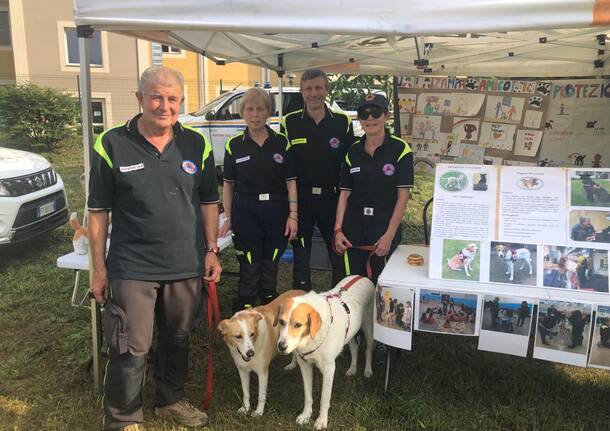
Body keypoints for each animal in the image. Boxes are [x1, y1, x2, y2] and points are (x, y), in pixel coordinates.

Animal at [217, 290, 304, 418]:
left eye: (252, 334)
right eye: (238, 336)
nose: (250, 353)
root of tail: (302, 291)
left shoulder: (262, 373)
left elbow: (261, 395)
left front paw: (259, 412)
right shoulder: (243, 371)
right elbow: (246, 392)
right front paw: (246, 408)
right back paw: (292, 365)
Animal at [274, 278, 372, 430]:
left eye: (298, 325)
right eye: (281, 321)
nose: (281, 346)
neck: (310, 338)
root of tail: (362, 277)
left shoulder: (329, 369)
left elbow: (324, 399)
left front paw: (321, 420)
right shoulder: (305, 366)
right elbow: (308, 396)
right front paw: (306, 415)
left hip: (368, 328)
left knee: (368, 350)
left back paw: (367, 370)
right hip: (350, 332)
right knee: (354, 348)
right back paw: (352, 368)